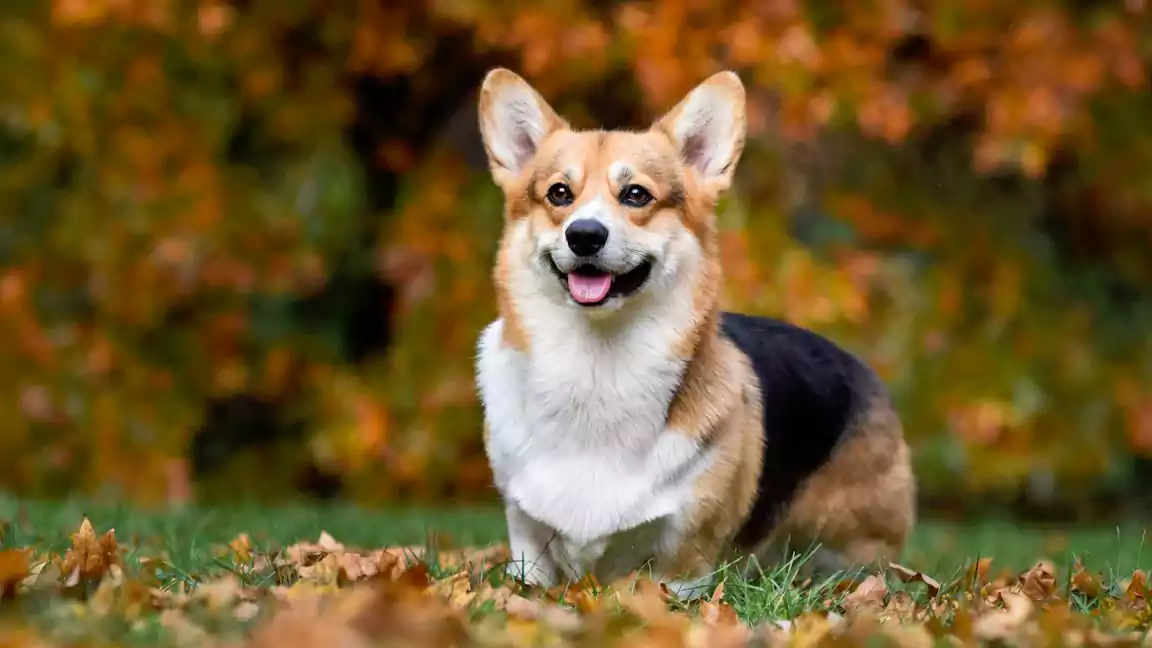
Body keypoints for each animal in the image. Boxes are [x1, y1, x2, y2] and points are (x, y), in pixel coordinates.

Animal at [472, 68, 912, 599]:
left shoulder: (684, 563)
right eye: (559, 193)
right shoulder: (527, 539)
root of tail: (861, 366)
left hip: (847, 547)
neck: (597, 365)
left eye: (636, 194)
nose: (584, 235)